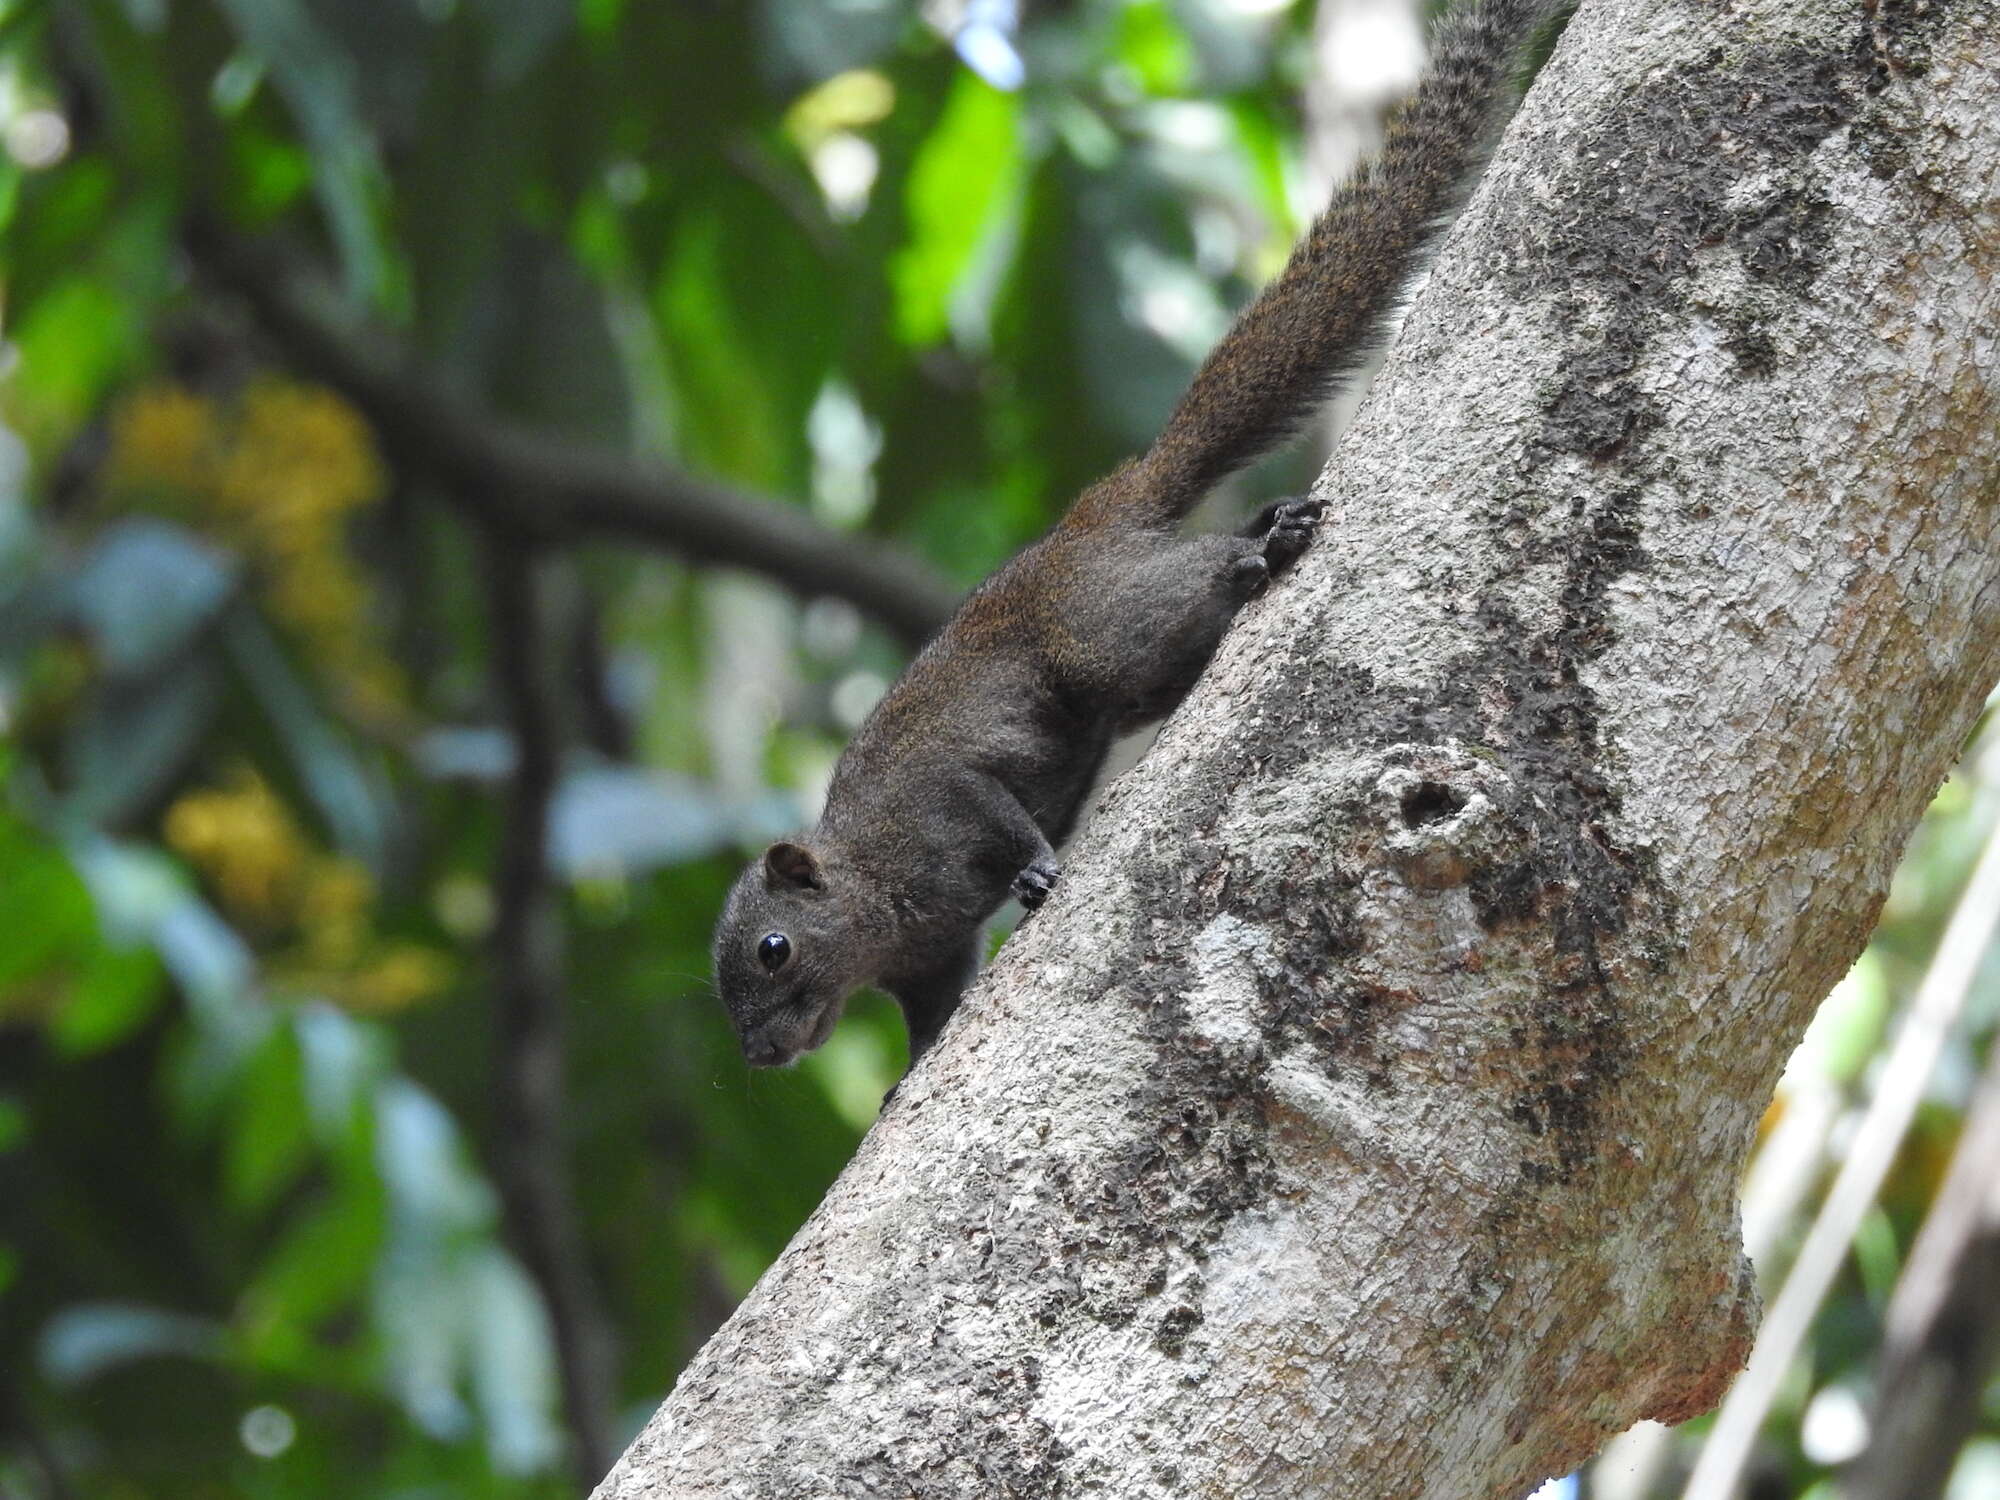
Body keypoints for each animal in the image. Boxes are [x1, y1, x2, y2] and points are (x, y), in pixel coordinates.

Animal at [712, 0, 1568, 1072]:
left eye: (774, 950)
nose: (760, 1055)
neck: (874, 891)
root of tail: (1099, 512)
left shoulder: (936, 801)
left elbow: (999, 814)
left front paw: (1037, 871)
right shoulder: (933, 962)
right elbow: (932, 1018)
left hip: (1106, 629)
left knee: (1184, 588)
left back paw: (1260, 550)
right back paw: (1265, 526)